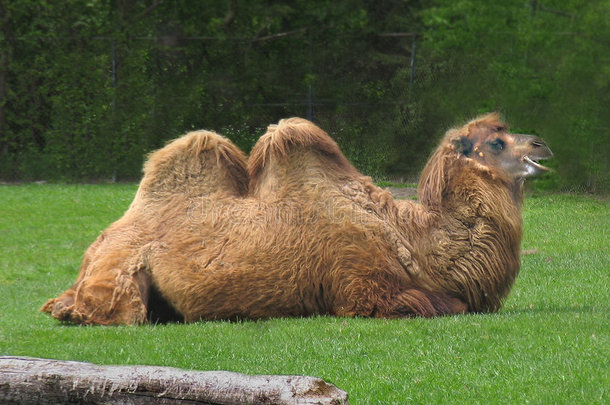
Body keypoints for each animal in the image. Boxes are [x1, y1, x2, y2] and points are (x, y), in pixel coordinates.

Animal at [40, 113, 548, 326]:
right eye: (497, 142)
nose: (541, 144)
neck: (415, 240)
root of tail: (99, 243)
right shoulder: (363, 287)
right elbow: (448, 305)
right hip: (120, 276)